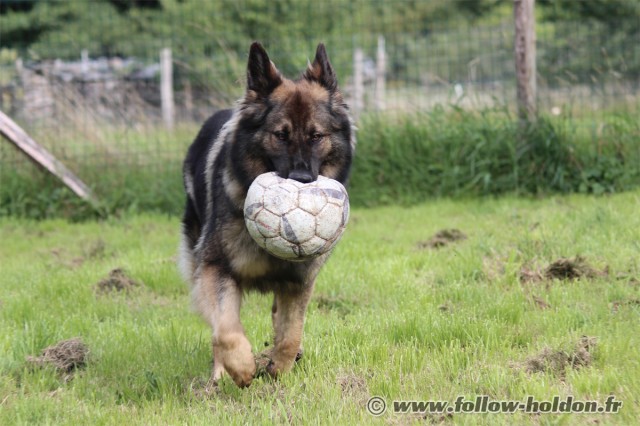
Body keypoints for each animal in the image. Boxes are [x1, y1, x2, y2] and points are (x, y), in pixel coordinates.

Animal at [179, 42, 356, 386]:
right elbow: (226, 331)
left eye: (316, 136)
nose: (302, 180)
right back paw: (220, 377)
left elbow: (291, 334)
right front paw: (243, 369)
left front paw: (278, 368)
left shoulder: (298, 282)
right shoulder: (215, 267)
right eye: (281, 135)